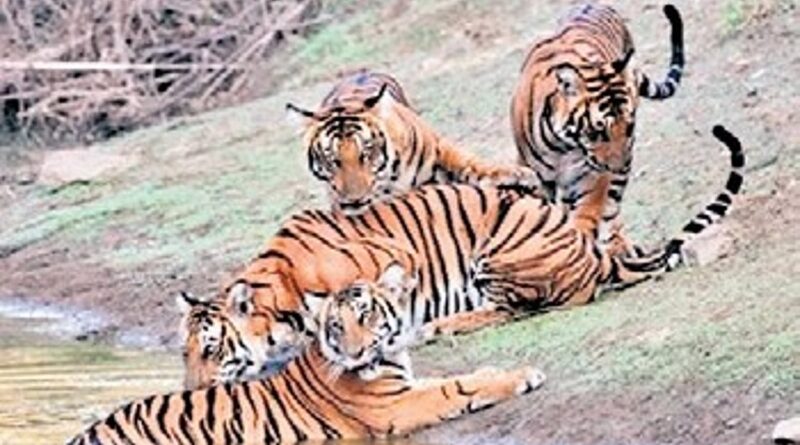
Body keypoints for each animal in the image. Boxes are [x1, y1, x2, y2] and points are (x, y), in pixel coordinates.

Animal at [67, 286, 545, 445]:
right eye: (187, 354)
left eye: (366, 316)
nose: (355, 352)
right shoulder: (396, 406)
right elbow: (456, 388)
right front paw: (524, 375)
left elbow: (458, 377)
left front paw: (494, 370)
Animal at [180, 125, 744, 390]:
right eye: (183, 354)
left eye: (210, 349)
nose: (192, 387)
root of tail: (591, 251)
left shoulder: (392, 257)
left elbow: (375, 302)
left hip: (499, 250)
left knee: (527, 307)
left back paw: (443, 325)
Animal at [286, 69, 539, 214]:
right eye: (332, 160)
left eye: (366, 153)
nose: (354, 200)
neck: (389, 180)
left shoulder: (438, 150)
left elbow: (469, 163)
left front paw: (517, 175)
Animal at [510, 3, 685, 255]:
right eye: (597, 131)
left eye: (629, 127)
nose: (618, 166)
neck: (562, 146)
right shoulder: (536, 177)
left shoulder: (592, 177)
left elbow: (587, 215)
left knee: (610, 211)